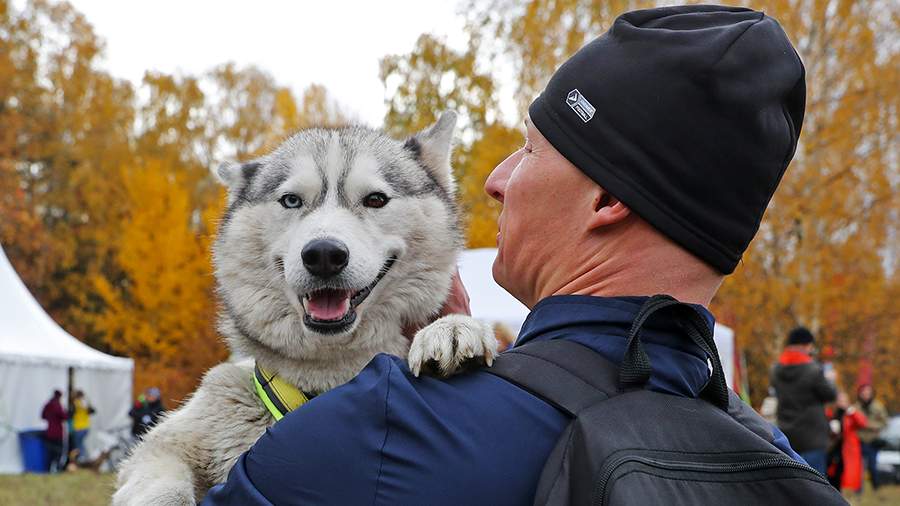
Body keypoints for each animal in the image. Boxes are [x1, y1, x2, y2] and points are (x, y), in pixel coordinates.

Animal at [112, 112, 500, 504]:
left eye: (376, 199)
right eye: (291, 200)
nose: (324, 254)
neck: (329, 376)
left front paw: (450, 328)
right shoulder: (164, 445)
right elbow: (161, 478)